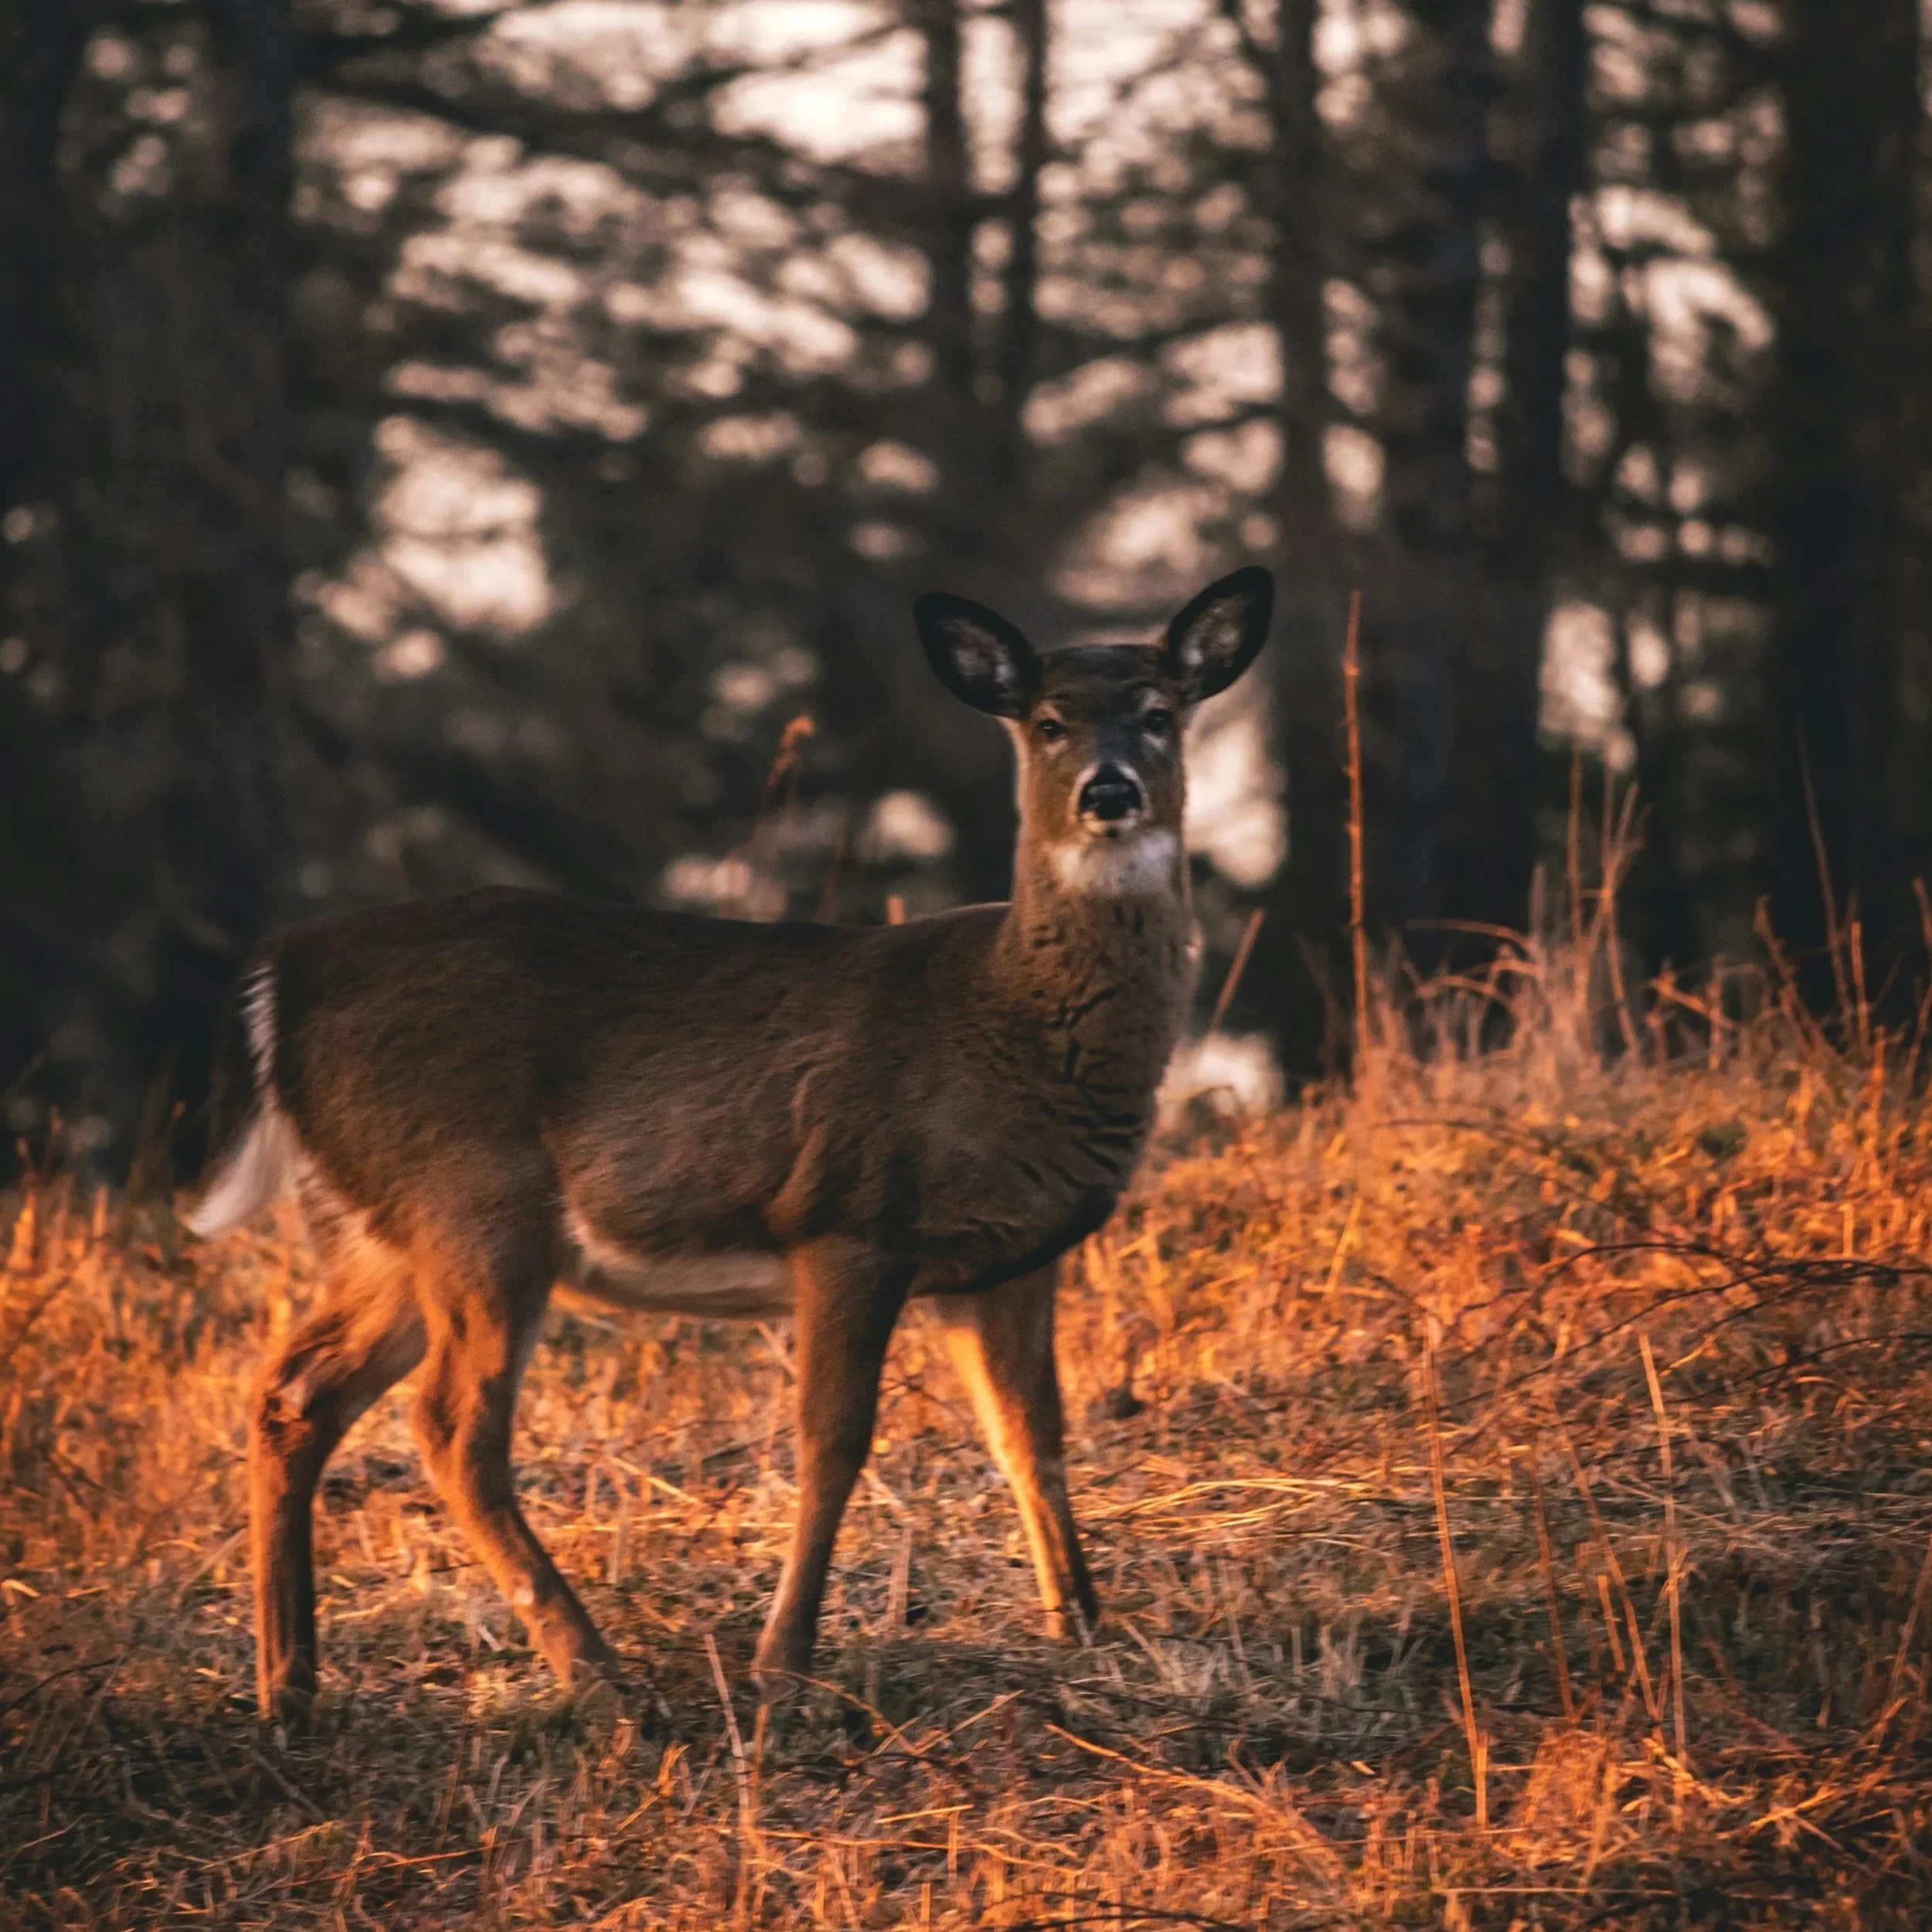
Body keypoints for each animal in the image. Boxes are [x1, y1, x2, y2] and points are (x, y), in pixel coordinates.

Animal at [183, 565, 1274, 1725]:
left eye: (1158, 714)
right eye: (1049, 721)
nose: (1109, 792)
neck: (1004, 1018)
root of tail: (279, 978)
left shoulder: (1011, 1259)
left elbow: (1034, 1437)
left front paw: (1084, 1630)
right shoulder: (849, 1217)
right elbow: (833, 1441)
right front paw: (783, 1661)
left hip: (379, 1230)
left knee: (295, 1394)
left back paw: (290, 1688)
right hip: (472, 1200)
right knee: (449, 1425)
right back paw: (596, 1672)